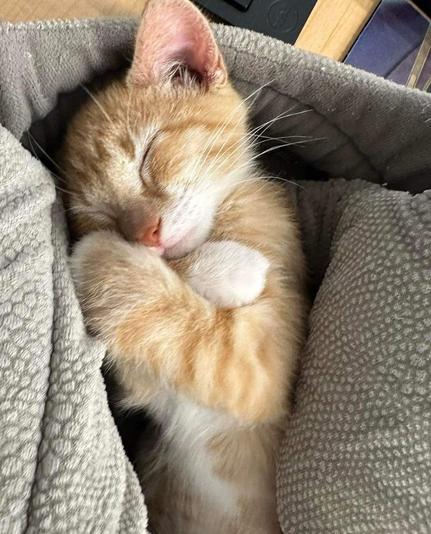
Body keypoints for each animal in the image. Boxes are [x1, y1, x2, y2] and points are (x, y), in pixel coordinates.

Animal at [62, 2, 308, 532]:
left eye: (148, 155)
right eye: (97, 213)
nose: (147, 234)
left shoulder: (259, 370)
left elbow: (187, 328)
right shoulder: (143, 387)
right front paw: (223, 266)